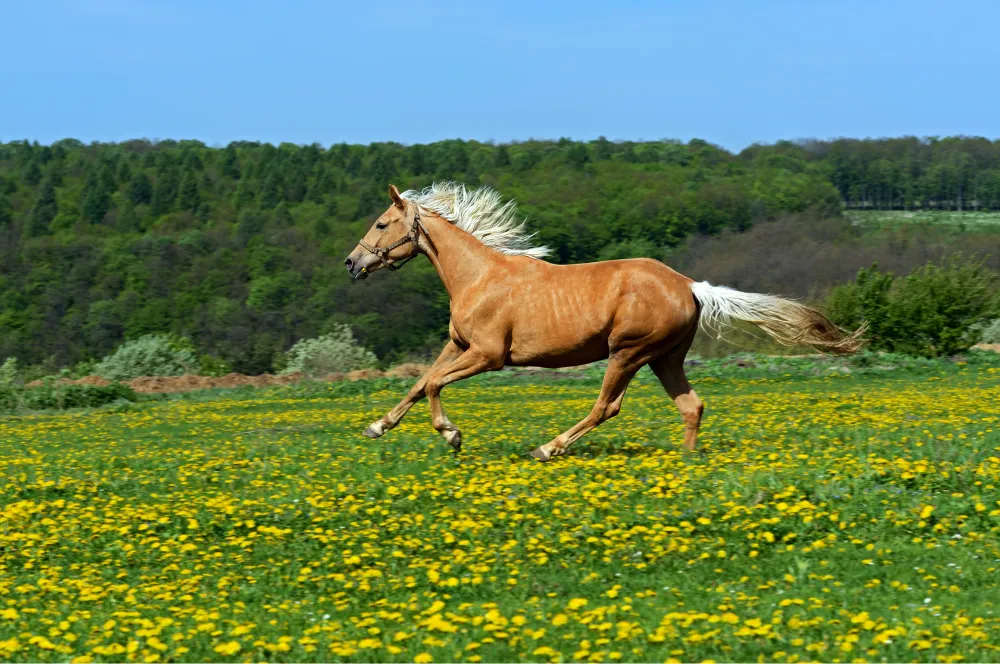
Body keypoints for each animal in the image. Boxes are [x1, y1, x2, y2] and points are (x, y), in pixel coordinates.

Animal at [344, 183, 865, 461]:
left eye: (382, 224)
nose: (352, 263)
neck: (479, 277)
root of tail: (690, 286)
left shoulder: (489, 356)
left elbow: (433, 385)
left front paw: (452, 435)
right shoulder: (457, 346)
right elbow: (420, 383)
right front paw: (377, 427)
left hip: (629, 353)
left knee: (607, 407)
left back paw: (548, 448)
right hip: (665, 359)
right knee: (691, 405)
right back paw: (686, 459)